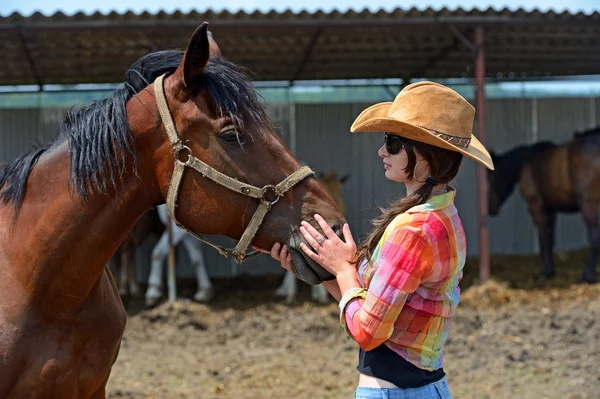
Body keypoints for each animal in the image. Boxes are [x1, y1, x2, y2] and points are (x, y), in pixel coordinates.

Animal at [488, 125, 600, 284]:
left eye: (491, 178)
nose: (490, 208)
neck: (527, 162)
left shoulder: (535, 206)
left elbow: (543, 238)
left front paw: (545, 272)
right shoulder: (551, 208)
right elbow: (550, 238)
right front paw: (551, 270)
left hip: (588, 205)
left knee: (594, 236)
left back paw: (587, 275)